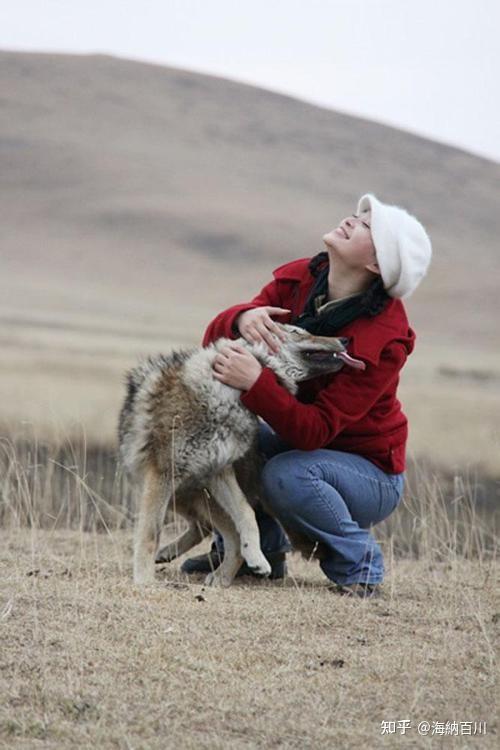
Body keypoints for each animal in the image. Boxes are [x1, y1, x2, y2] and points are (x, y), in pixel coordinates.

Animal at [119, 326, 366, 592]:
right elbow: (150, 533)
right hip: (177, 494)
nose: (345, 339)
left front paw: (257, 559)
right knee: (206, 529)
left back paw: (220, 576)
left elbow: (246, 514)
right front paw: (144, 581)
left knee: (219, 533)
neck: (227, 395)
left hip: (195, 496)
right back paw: (176, 557)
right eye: (298, 332)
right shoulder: (164, 474)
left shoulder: (218, 471)